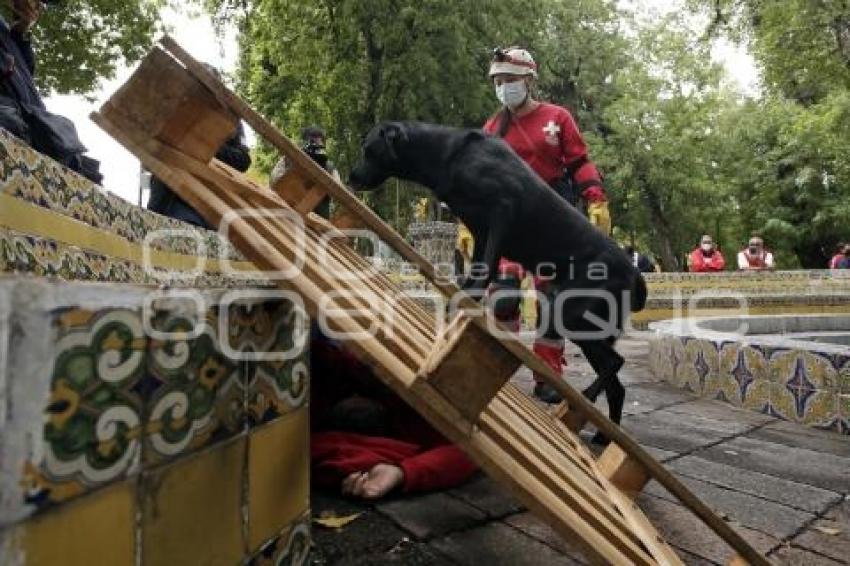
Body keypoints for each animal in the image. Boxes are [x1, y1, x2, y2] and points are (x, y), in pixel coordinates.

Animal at [348, 120, 644, 440]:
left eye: (368, 149)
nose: (351, 177)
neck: (448, 154)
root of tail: (635, 275)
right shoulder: (478, 229)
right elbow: (477, 270)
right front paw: (462, 298)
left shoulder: (502, 211)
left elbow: (486, 267)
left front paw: (469, 299)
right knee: (617, 385)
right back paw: (602, 435)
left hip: (572, 313)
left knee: (616, 362)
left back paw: (583, 399)